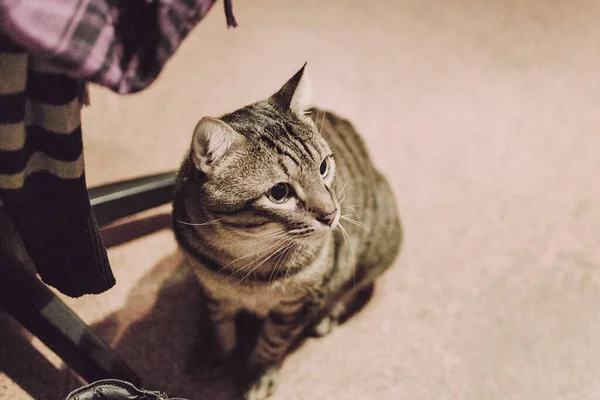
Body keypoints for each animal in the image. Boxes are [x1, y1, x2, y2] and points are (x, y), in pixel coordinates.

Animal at [171, 65, 400, 400]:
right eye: (279, 192)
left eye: (323, 167)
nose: (332, 214)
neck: (248, 260)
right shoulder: (214, 292)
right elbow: (218, 324)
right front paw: (213, 351)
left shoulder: (297, 304)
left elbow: (273, 341)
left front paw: (259, 373)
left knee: (352, 286)